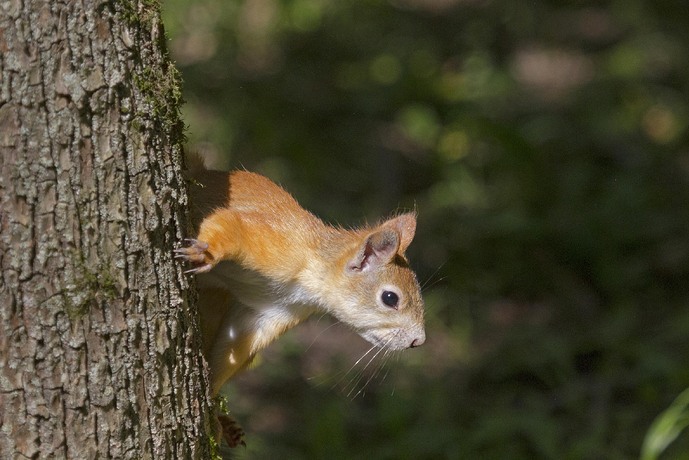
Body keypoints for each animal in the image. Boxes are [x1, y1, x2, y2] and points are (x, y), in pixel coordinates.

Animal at [176, 167, 426, 447]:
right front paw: (205, 252)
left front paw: (209, 399)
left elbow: (237, 344)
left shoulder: (272, 312)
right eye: (390, 298)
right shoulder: (275, 244)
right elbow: (232, 224)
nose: (419, 341)